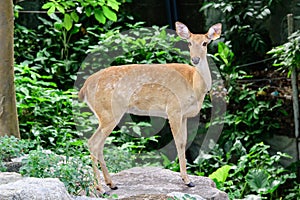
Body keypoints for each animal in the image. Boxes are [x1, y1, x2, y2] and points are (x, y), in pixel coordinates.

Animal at [78, 21, 221, 194]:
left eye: (205, 43)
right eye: (189, 43)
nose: (195, 59)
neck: (194, 84)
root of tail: (85, 88)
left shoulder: (184, 115)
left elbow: (184, 142)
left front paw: (185, 178)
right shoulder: (173, 109)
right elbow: (179, 142)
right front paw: (187, 180)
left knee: (99, 145)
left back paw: (111, 183)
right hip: (108, 112)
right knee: (93, 143)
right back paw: (101, 187)